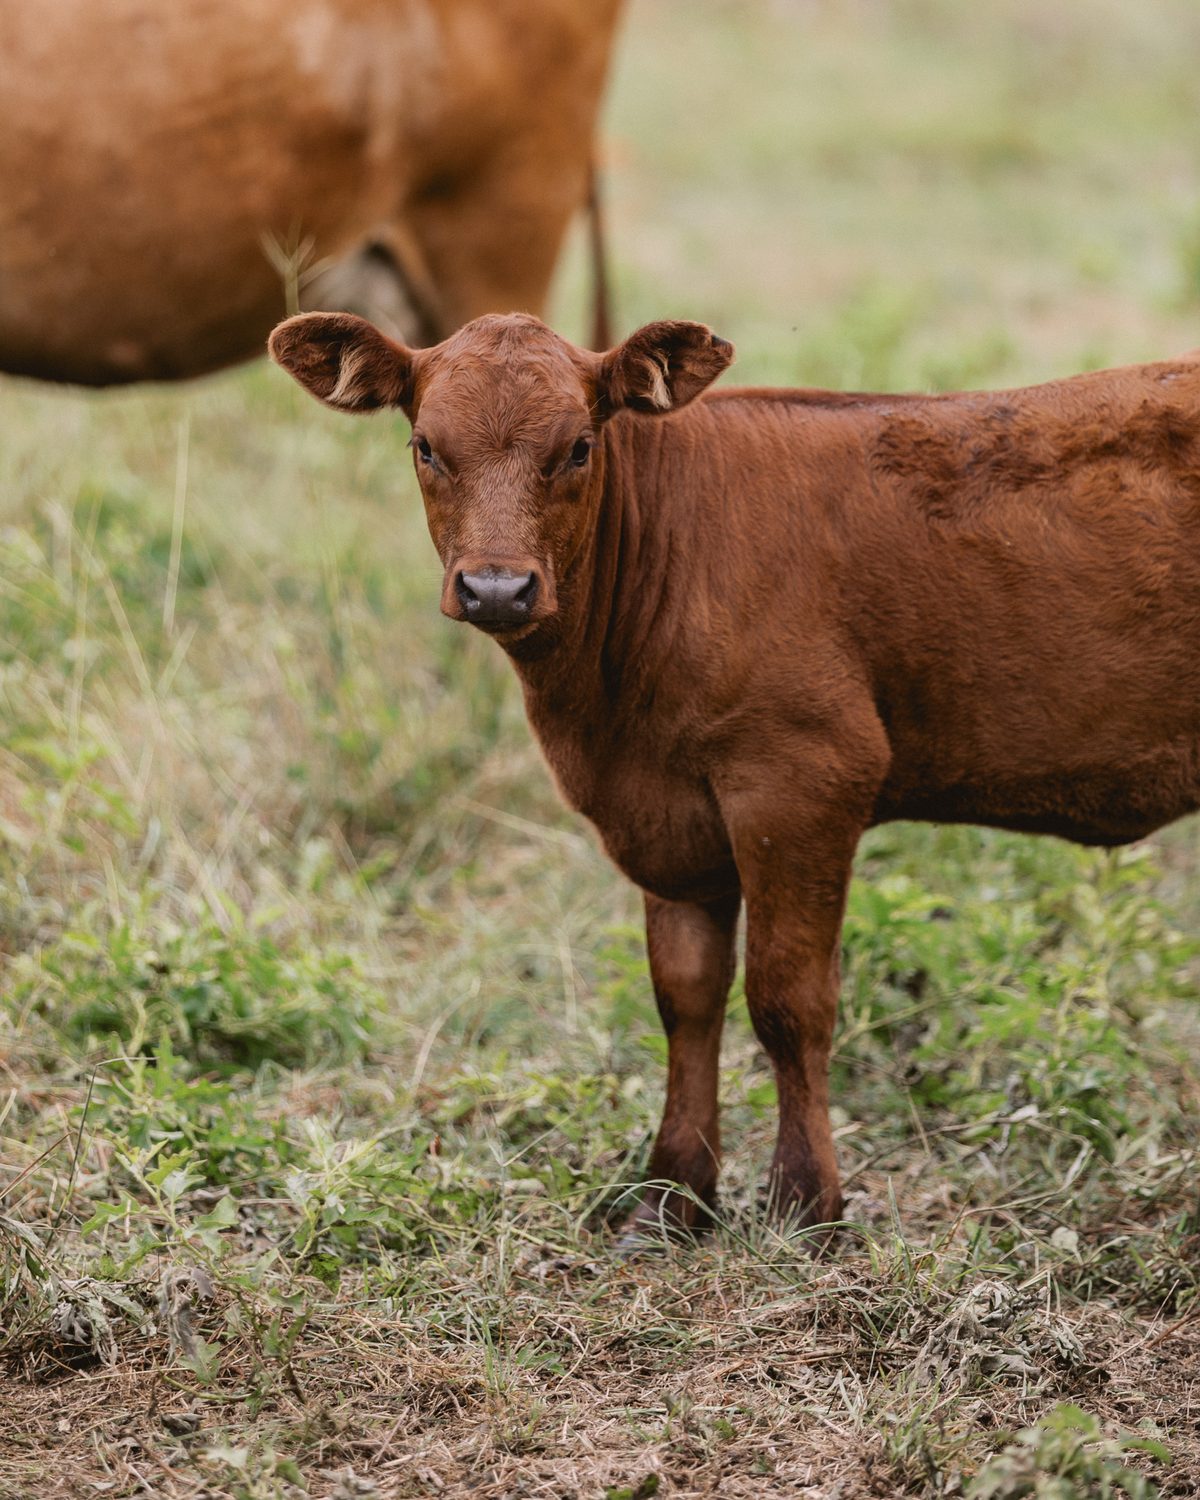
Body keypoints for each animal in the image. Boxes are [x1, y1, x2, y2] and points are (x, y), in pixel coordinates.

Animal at [269, 307, 1200, 1240]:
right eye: (425, 445)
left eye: (578, 446)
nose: (497, 589)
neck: (604, 714)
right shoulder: (666, 817)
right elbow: (685, 996)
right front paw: (672, 1195)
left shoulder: (803, 776)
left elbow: (789, 1000)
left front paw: (806, 1202)